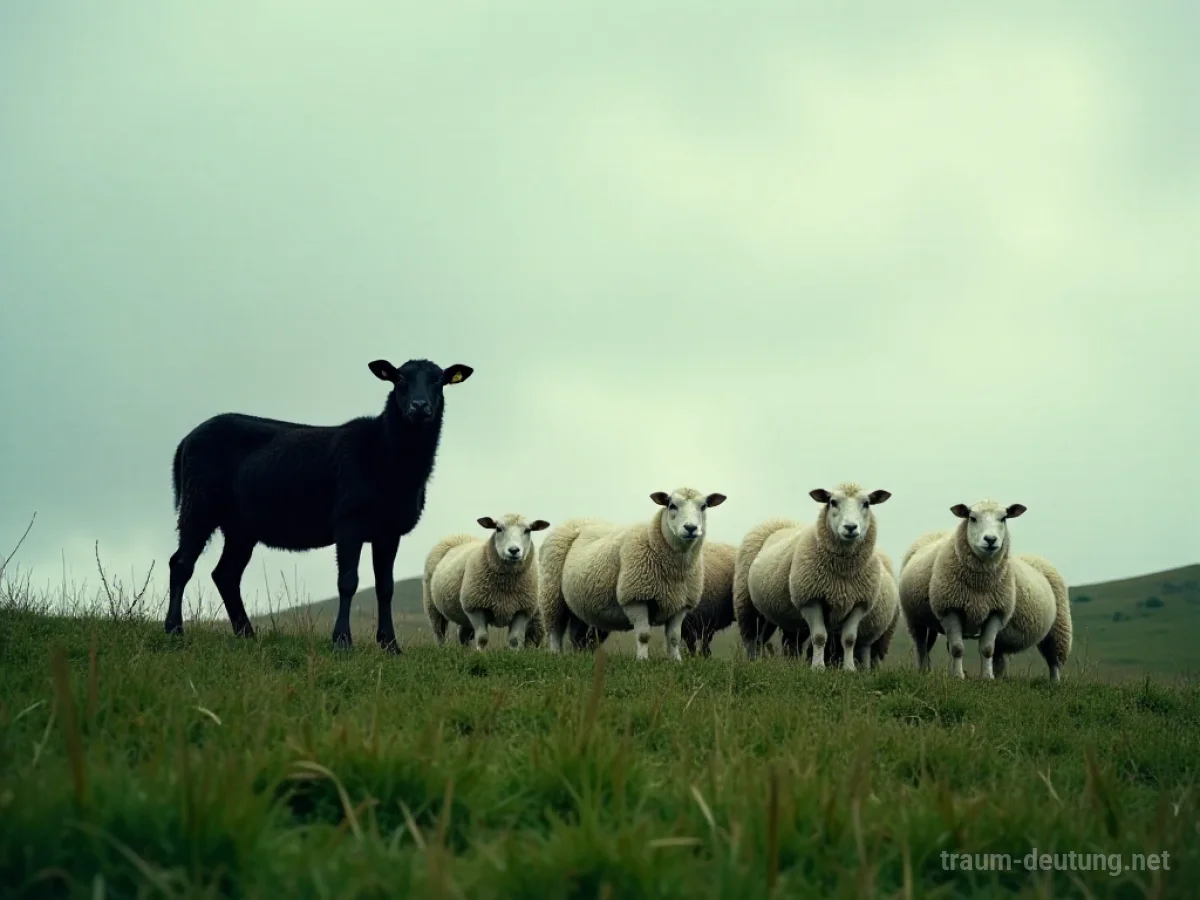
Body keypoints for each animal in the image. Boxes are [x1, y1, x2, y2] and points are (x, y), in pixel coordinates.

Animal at [165, 358, 473, 652]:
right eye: (399, 379)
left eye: (439, 381)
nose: (419, 406)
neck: (385, 454)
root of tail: (185, 440)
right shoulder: (348, 521)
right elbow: (348, 582)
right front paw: (342, 642)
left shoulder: (389, 530)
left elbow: (385, 588)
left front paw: (390, 646)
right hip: (199, 504)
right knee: (181, 564)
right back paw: (174, 630)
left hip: (241, 526)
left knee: (226, 574)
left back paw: (247, 635)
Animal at [423, 513, 549, 650]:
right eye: (498, 528)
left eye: (528, 530)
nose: (513, 550)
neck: (506, 586)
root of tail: (457, 536)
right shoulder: (475, 607)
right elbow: (482, 638)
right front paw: (481, 654)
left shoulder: (523, 610)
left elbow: (515, 639)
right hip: (433, 607)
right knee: (439, 633)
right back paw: (442, 649)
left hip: (463, 616)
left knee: (463, 635)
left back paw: (465, 651)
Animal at [539, 488, 727, 661]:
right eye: (672, 505)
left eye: (703, 506)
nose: (690, 528)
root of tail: (578, 520)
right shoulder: (635, 597)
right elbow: (643, 635)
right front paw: (642, 660)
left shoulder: (681, 604)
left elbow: (674, 638)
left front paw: (676, 662)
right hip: (552, 594)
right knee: (555, 629)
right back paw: (555, 654)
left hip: (578, 604)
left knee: (576, 636)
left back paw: (580, 657)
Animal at [735, 483, 892, 670]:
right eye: (833, 502)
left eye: (866, 503)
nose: (850, 527)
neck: (843, 574)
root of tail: (784, 522)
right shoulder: (810, 599)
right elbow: (819, 637)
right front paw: (818, 667)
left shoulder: (859, 604)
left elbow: (849, 640)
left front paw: (849, 669)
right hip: (747, 603)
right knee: (752, 637)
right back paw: (752, 662)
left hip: (784, 614)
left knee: (785, 641)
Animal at [897, 499, 1071, 680]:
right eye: (972, 518)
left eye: (1003, 518)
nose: (990, 539)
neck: (980, 585)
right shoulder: (950, 609)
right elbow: (957, 648)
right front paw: (958, 676)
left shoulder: (996, 612)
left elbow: (988, 649)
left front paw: (987, 677)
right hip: (915, 618)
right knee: (921, 645)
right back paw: (923, 671)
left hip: (1058, 628)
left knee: (1054, 661)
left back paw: (1053, 682)